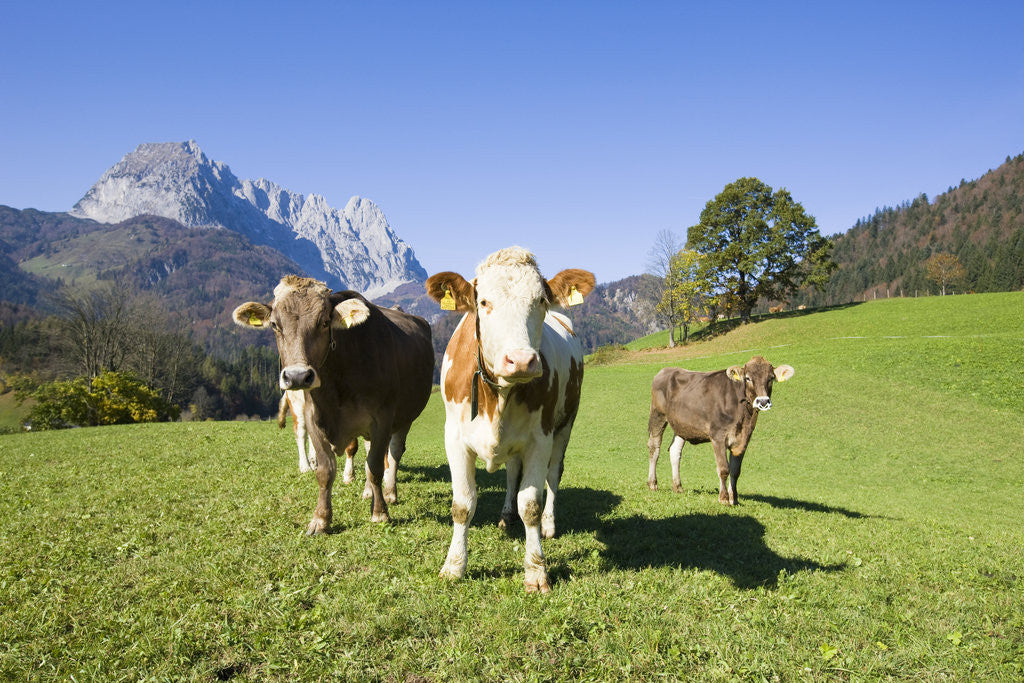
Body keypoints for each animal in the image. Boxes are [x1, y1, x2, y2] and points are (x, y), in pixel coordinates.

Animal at [233, 275, 433, 533]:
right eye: (275, 325)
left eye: (325, 322)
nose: (298, 376)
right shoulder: (314, 418)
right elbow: (325, 470)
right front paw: (321, 519)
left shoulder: (382, 418)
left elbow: (376, 466)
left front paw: (380, 512)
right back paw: (367, 492)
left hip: (405, 417)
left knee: (394, 453)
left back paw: (389, 493)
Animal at [425, 247, 594, 593]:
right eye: (483, 302)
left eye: (540, 300)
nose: (521, 360)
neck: (498, 396)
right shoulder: (454, 439)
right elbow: (463, 504)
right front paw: (454, 566)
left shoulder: (540, 439)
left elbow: (530, 504)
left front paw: (536, 572)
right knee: (511, 472)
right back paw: (505, 515)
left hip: (565, 425)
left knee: (554, 476)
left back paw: (549, 525)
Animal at [646, 356, 794, 505]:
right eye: (747, 378)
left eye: (771, 378)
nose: (763, 402)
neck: (744, 418)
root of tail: (666, 370)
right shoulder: (718, 436)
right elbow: (723, 469)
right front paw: (723, 498)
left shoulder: (744, 439)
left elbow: (735, 470)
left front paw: (734, 498)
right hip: (658, 414)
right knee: (654, 447)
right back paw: (652, 483)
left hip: (682, 425)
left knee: (675, 450)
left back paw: (678, 487)